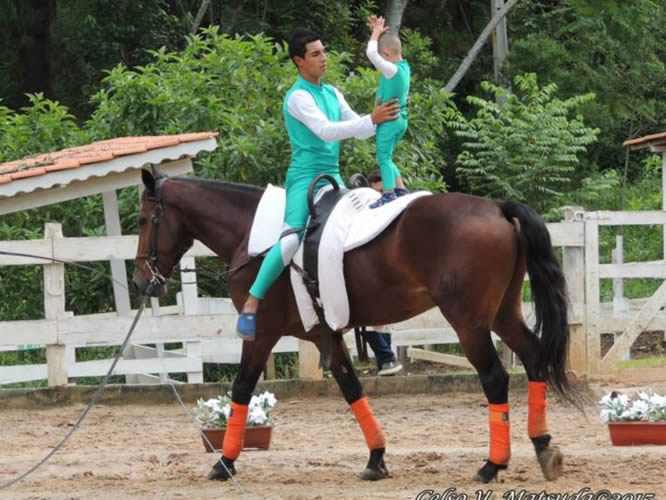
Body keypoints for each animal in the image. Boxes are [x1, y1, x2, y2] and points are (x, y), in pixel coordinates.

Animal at [132, 167, 572, 484]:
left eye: (142, 219)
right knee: (533, 357)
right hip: (503, 314)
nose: (140, 281)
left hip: (470, 323)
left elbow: (241, 388)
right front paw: (376, 460)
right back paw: (543, 447)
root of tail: (496, 208)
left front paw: (224, 461)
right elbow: (351, 387)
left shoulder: (262, 333)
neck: (256, 239)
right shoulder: (324, 334)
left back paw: (492, 465)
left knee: (495, 378)